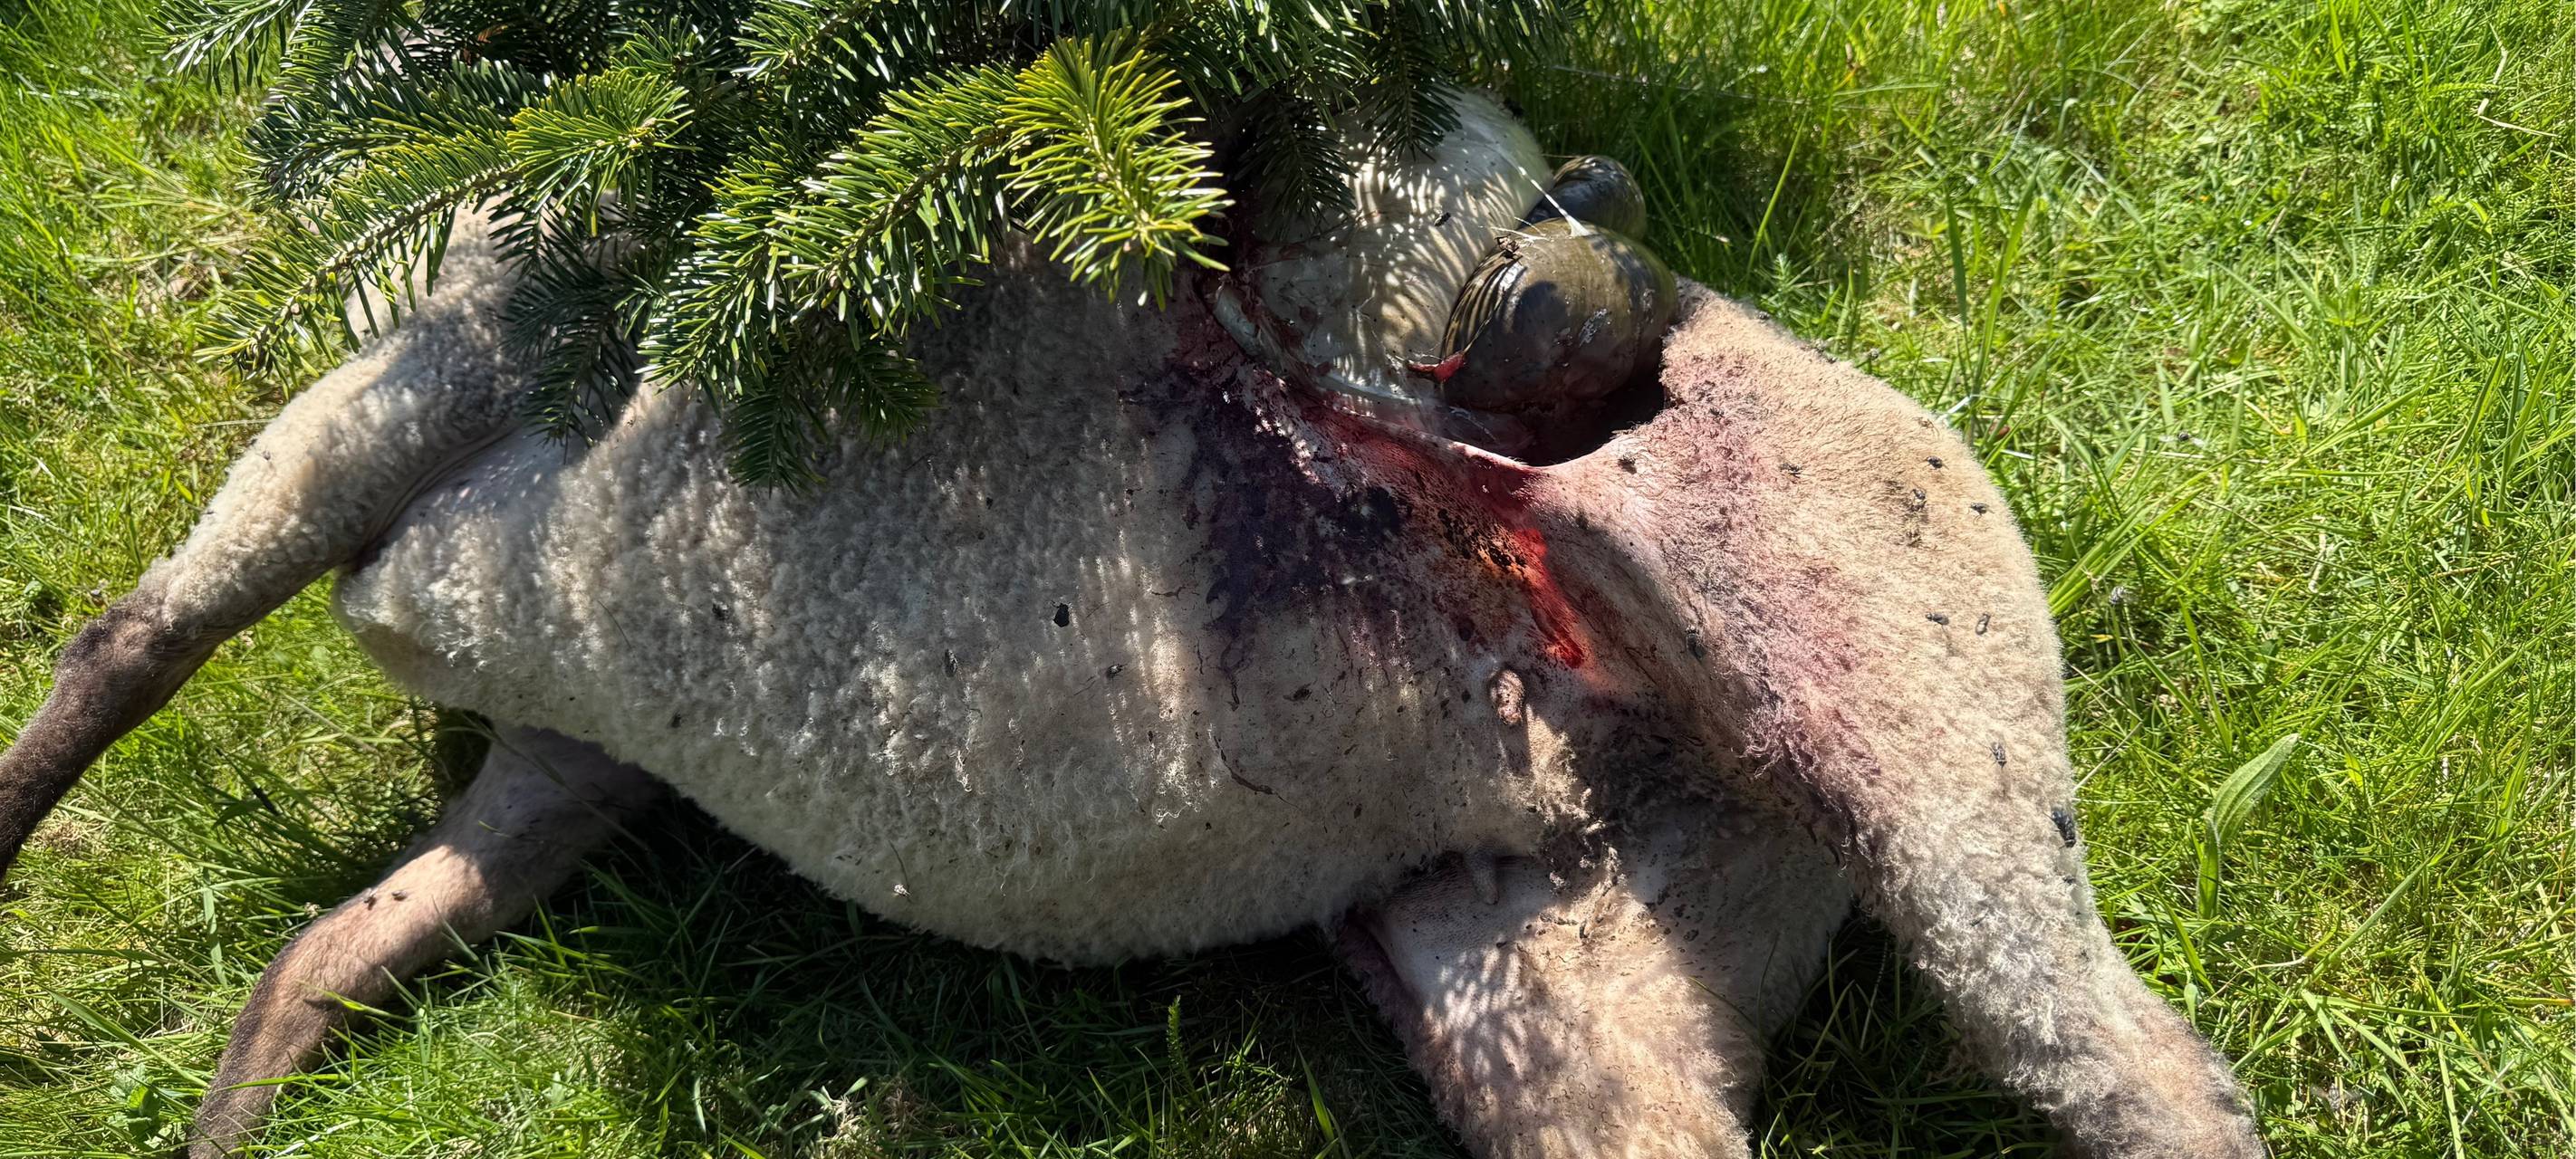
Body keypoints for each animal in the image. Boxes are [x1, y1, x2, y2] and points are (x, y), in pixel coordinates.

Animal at [0, 95, 2265, 1159]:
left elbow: (125, 641)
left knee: (2155, 1083)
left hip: (1908, 725)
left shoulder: (415, 397)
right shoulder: (572, 751)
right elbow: (336, 951)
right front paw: (225, 1119)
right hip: (1551, 935)